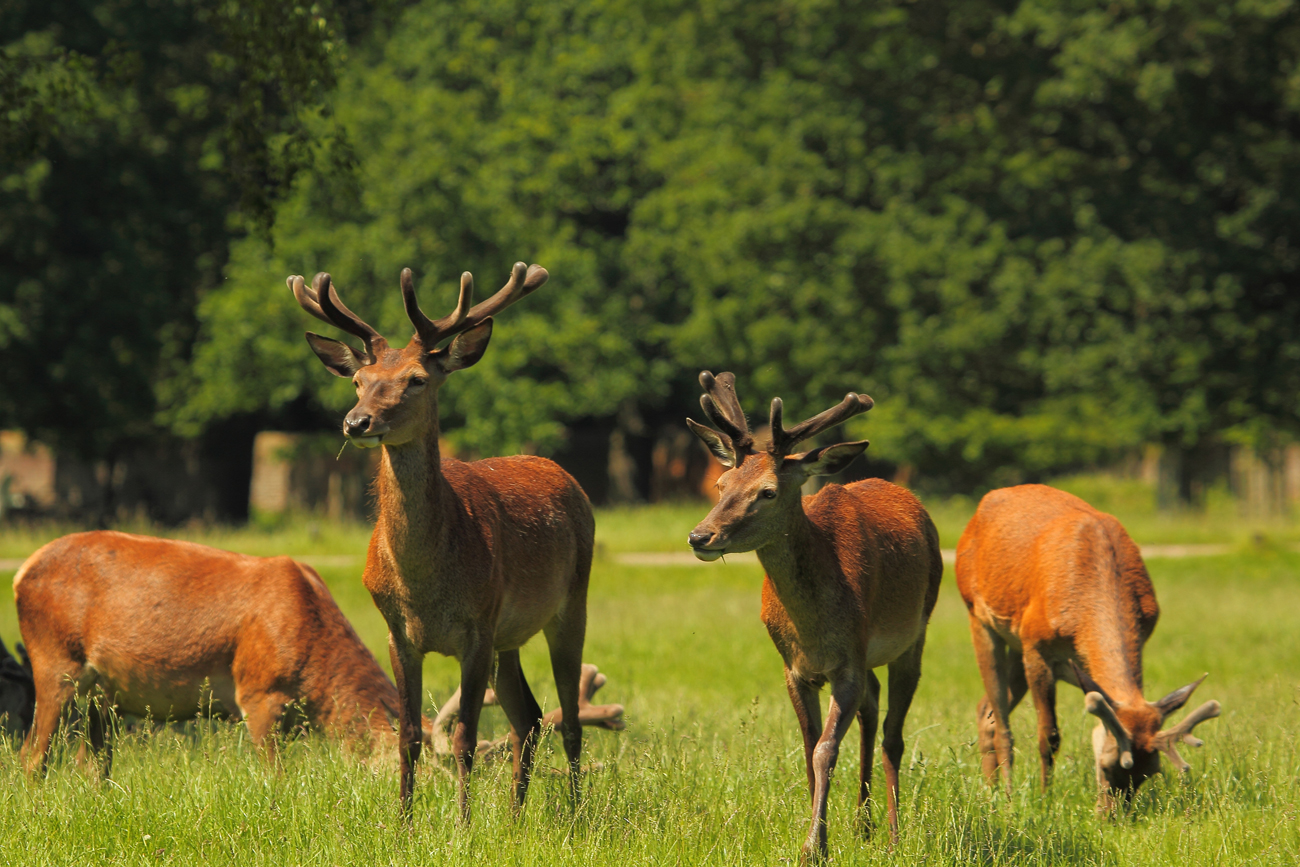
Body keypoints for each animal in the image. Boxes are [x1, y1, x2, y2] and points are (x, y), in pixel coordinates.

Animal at [13, 532, 624, 774]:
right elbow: (275, 778)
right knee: (30, 755)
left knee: (93, 762)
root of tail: (20, 573)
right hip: (52, 663)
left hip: (101, 695)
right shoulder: (256, 690)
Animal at [291, 261, 595, 816]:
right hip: (508, 638)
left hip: (570, 604)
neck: (423, 587)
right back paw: (516, 817)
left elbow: (465, 738)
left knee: (569, 719)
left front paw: (463, 823)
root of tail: (562, 474)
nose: (356, 422)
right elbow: (408, 735)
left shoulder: (477, 628)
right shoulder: (398, 633)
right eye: (359, 381)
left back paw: (577, 815)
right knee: (529, 717)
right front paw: (404, 822)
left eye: (416, 380)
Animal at [686, 374, 941, 863]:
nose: (700, 536)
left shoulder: (848, 663)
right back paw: (863, 824)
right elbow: (808, 749)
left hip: (916, 631)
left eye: (767, 491)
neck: (814, 629)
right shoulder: (794, 668)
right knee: (872, 708)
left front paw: (814, 847)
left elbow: (826, 749)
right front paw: (814, 831)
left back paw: (893, 835)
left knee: (893, 733)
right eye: (722, 483)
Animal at [956, 486, 1216, 811]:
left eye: (1150, 771)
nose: (1112, 815)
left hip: (1016, 645)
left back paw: (990, 789)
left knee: (985, 710)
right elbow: (1049, 735)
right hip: (978, 615)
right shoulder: (1037, 647)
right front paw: (1045, 799)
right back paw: (1004, 795)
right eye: (1106, 765)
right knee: (1001, 721)